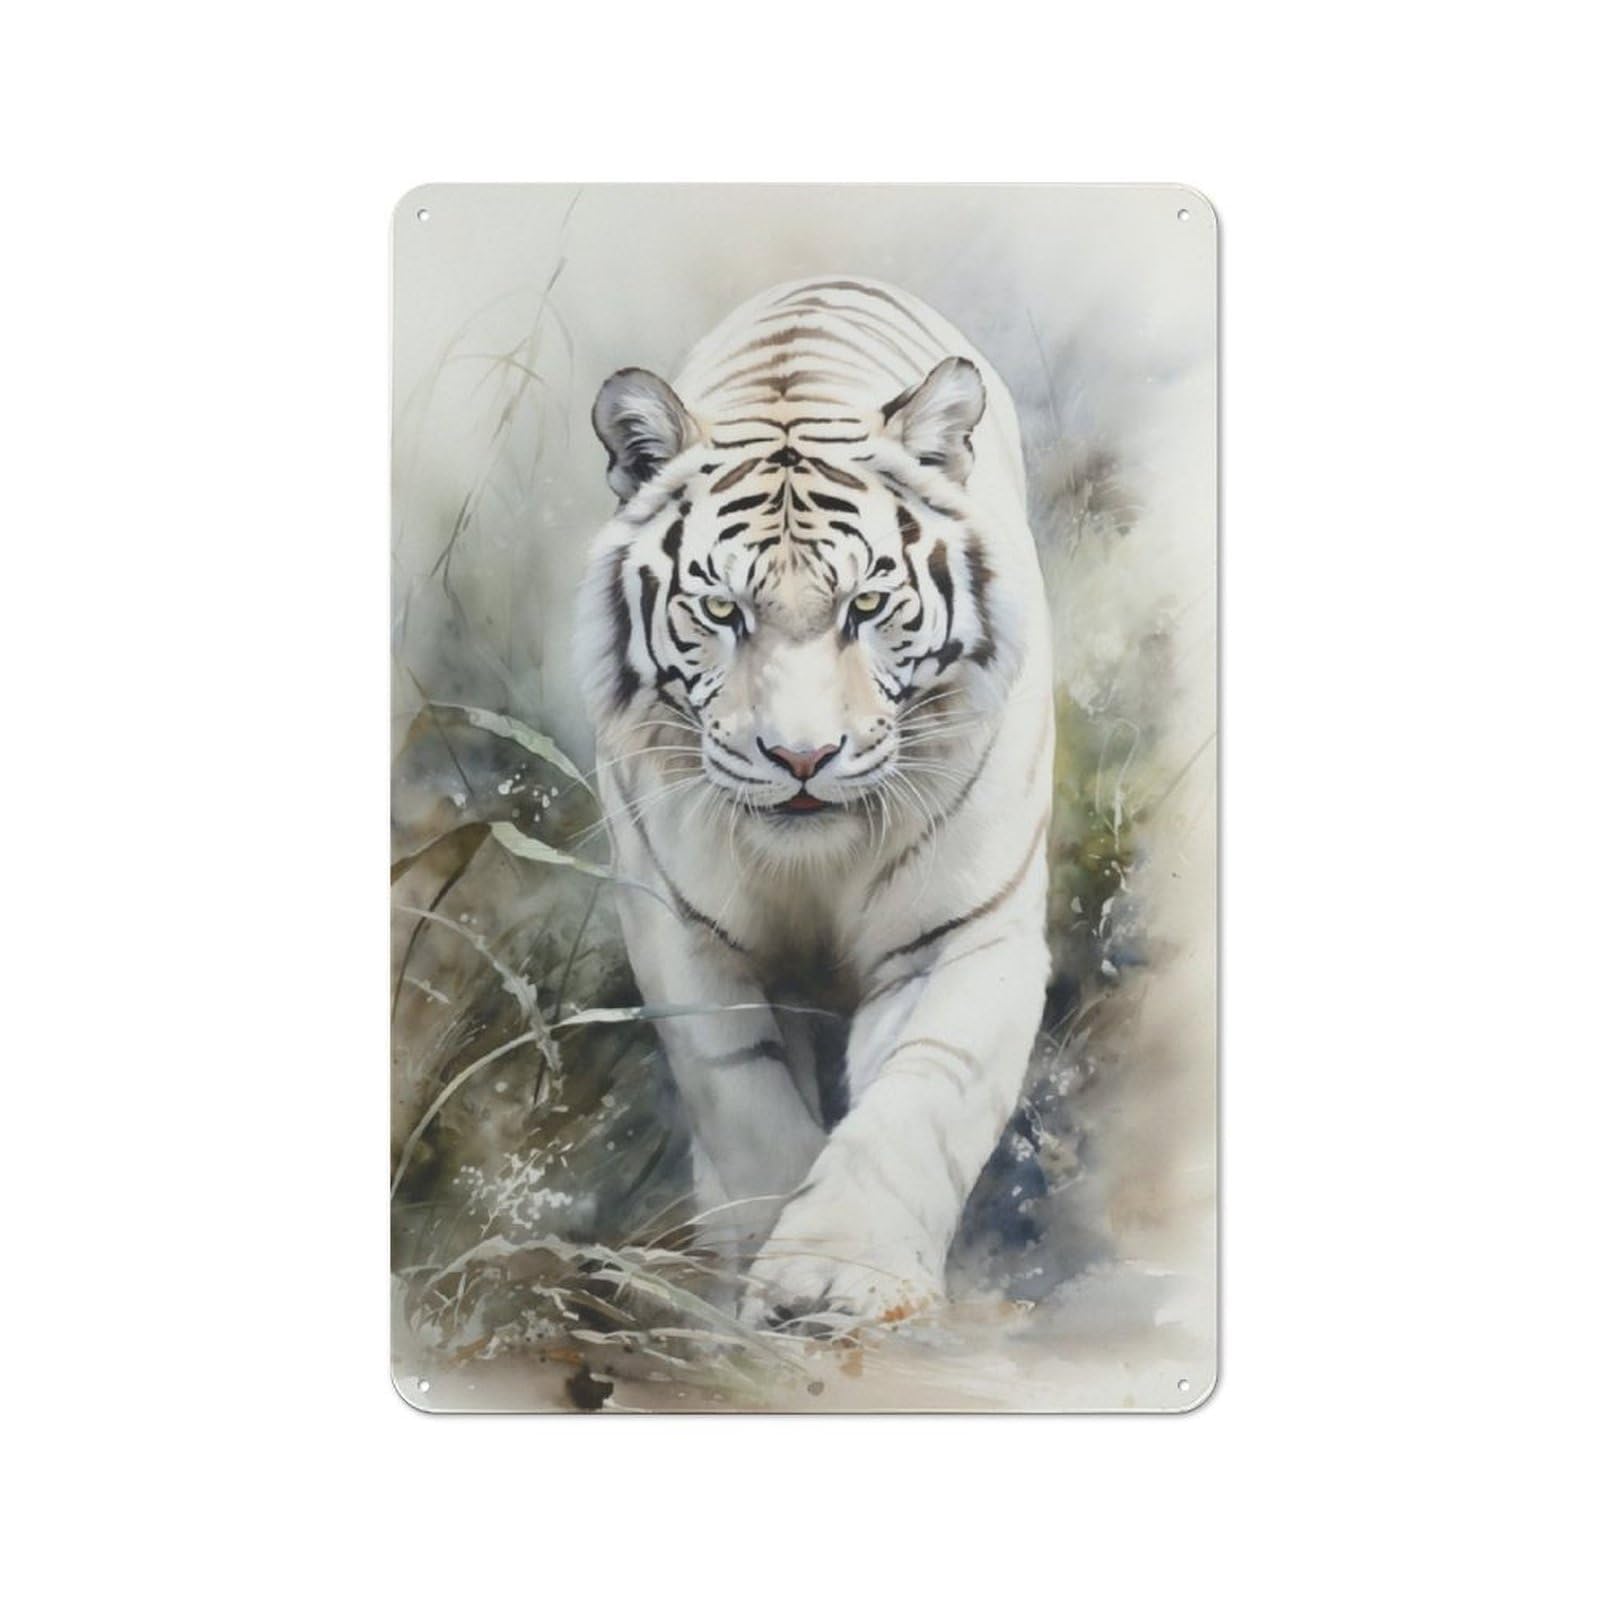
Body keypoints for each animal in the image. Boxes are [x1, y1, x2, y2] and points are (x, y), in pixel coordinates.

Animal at [575, 275, 1054, 1328]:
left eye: (866, 607)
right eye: (722, 611)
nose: (802, 756)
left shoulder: (967, 930)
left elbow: (921, 1097)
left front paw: (836, 1281)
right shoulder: (683, 933)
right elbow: (745, 1103)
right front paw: (756, 1281)